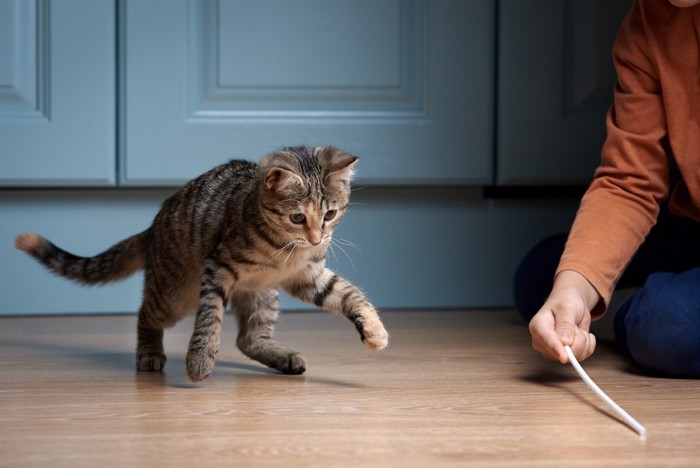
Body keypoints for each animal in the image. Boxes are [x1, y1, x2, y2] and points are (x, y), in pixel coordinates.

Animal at [15, 145, 388, 380]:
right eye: (298, 217)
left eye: (330, 214)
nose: (316, 238)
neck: (286, 249)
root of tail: (152, 228)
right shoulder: (217, 268)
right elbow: (209, 317)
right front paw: (199, 359)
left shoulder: (307, 275)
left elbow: (347, 293)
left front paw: (374, 329)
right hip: (174, 293)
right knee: (145, 313)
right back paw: (149, 352)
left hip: (262, 294)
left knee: (249, 339)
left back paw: (282, 357)